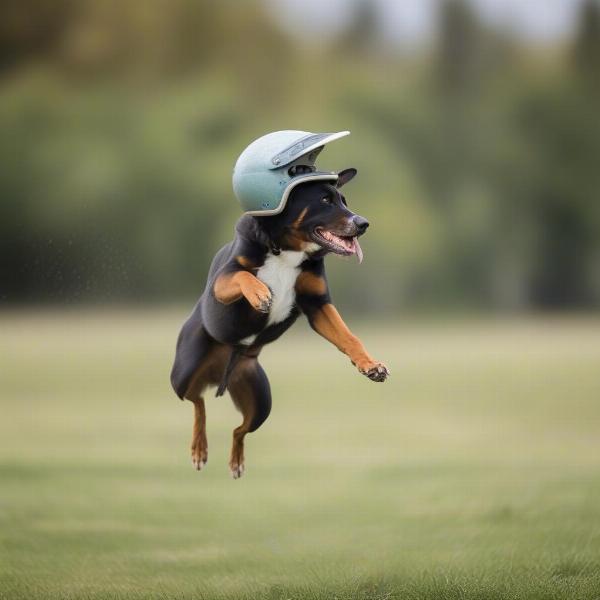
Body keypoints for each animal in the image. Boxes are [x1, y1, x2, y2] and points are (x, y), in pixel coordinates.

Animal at [171, 168, 392, 478]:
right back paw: (199, 450)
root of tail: (222, 374)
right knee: (197, 401)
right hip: (184, 373)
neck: (286, 248)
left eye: (344, 200)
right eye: (326, 200)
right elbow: (244, 276)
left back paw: (235, 462)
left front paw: (371, 365)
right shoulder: (223, 282)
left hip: (261, 403)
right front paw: (260, 293)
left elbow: (348, 337)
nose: (363, 223)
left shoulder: (317, 304)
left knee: (238, 429)